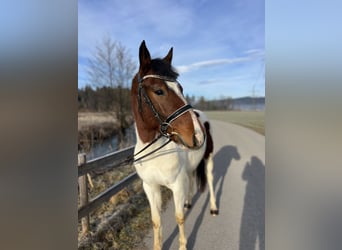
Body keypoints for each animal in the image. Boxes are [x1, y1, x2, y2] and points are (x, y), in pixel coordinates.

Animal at [130, 41, 218, 250]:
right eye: (158, 91)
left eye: (181, 88)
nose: (197, 135)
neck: (155, 152)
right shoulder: (150, 187)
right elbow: (156, 221)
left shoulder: (177, 186)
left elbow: (179, 218)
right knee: (192, 178)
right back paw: (188, 202)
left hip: (208, 159)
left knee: (210, 181)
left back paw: (213, 208)